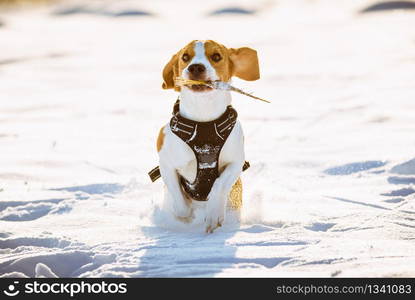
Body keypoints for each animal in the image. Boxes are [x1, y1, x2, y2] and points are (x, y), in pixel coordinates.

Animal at [156, 39, 260, 232]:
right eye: (185, 57)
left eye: (216, 56)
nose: (196, 67)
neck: (203, 117)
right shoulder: (166, 164)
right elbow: (180, 202)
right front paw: (186, 214)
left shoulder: (236, 162)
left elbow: (219, 185)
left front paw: (213, 214)